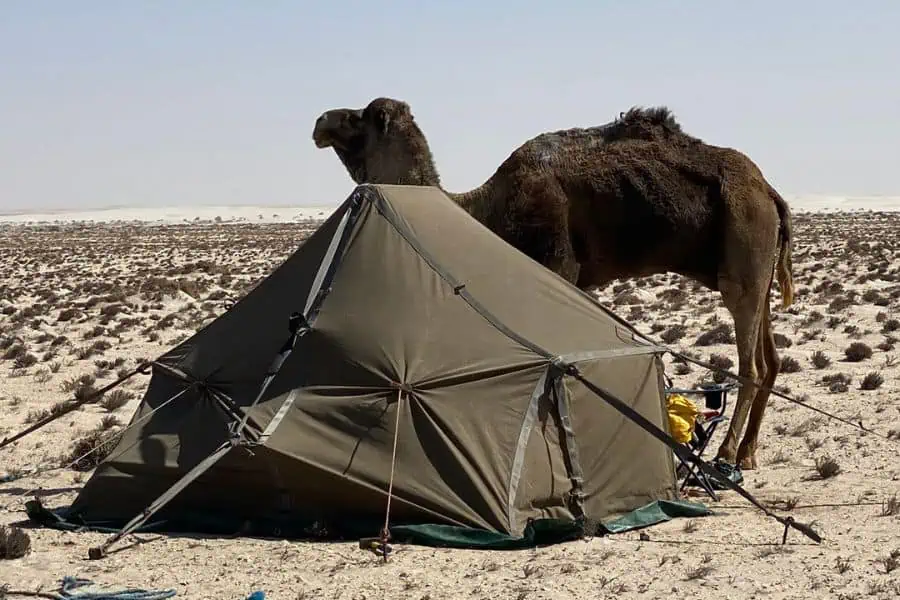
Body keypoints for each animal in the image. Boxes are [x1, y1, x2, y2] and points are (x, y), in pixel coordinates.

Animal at [312, 96, 796, 468]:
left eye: (360, 116)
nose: (320, 122)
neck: (484, 208)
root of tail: (772, 194)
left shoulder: (557, 262)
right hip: (756, 263)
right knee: (770, 359)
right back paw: (748, 453)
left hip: (744, 242)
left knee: (752, 363)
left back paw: (728, 455)